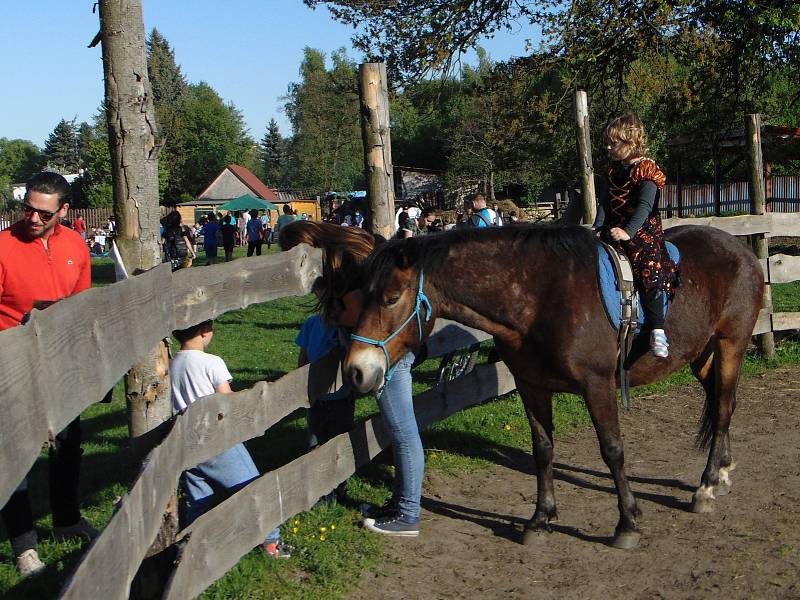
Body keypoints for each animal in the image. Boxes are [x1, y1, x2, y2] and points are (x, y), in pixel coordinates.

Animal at [342, 224, 764, 548]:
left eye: (391, 298)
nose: (357, 370)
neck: (540, 299)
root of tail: (741, 248)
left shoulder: (598, 385)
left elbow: (612, 450)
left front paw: (627, 523)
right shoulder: (532, 386)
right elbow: (543, 451)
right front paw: (540, 519)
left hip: (731, 344)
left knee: (722, 408)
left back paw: (706, 486)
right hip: (703, 354)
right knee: (723, 404)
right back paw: (722, 471)